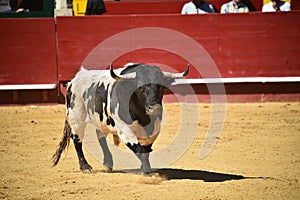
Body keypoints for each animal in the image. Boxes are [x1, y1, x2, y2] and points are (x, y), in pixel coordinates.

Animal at [50, 62, 189, 173]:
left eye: (160, 86)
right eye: (139, 87)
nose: (154, 108)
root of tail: (74, 80)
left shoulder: (154, 128)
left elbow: (146, 148)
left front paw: (145, 167)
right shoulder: (124, 130)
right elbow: (138, 148)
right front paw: (146, 171)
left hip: (101, 120)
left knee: (100, 135)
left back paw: (107, 163)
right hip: (77, 118)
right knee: (77, 140)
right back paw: (85, 167)